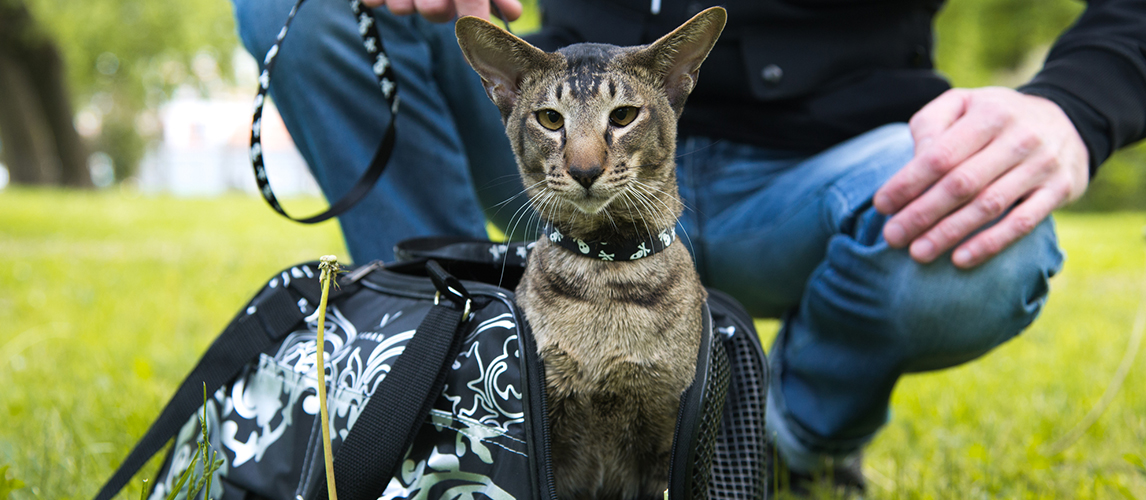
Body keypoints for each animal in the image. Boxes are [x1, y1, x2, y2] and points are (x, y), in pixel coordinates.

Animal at [453, 8, 724, 499]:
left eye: (623, 115)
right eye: (549, 119)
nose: (584, 170)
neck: (606, 272)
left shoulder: (666, 432)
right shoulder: (551, 427)